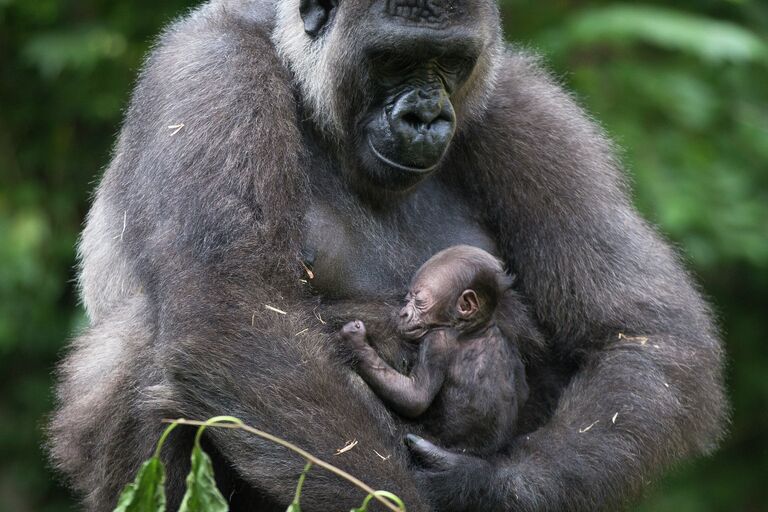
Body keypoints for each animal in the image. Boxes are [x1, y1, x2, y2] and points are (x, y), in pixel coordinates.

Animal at [340, 245, 528, 456]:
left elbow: (415, 397)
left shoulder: (437, 340)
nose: (403, 313)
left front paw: (356, 341)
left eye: (418, 301)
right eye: (407, 298)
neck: (476, 328)